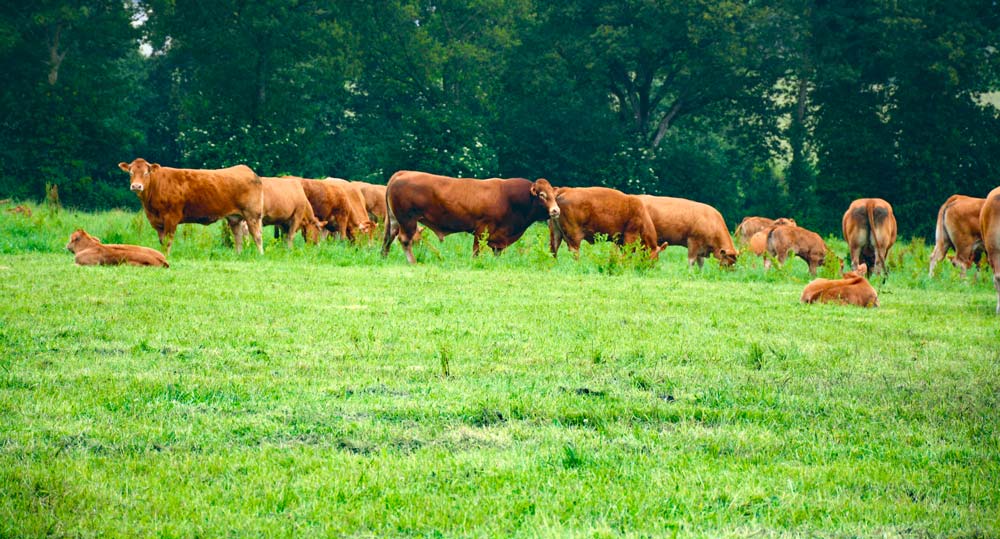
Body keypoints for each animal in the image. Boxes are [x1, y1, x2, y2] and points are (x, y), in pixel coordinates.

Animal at [116, 158, 264, 255]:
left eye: (146, 173)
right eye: (130, 173)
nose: (136, 186)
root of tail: (247, 170)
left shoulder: (171, 218)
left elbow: (168, 241)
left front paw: (166, 256)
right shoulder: (157, 222)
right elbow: (162, 241)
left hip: (252, 214)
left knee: (256, 235)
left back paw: (260, 255)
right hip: (234, 218)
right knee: (238, 237)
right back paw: (238, 255)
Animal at [382, 171, 564, 264]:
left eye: (553, 195)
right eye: (542, 195)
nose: (556, 210)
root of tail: (402, 173)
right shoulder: (482, 228)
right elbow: (477, 249)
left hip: (395, 221)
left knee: (388, 237)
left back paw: (383, 257)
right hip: (407, 220)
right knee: (404, 240)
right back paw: (412, 261)